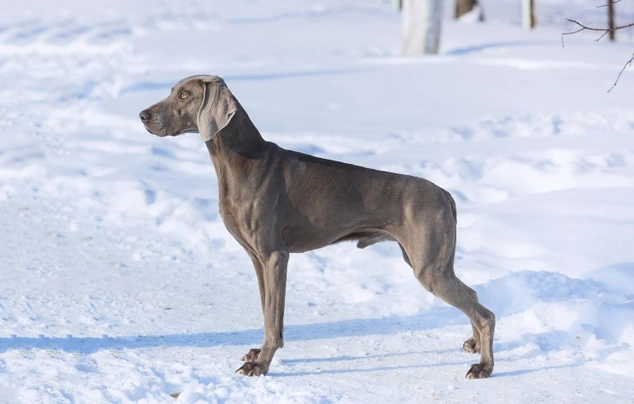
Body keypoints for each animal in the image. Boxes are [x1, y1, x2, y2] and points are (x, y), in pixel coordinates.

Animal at [138, 73, 494, 378]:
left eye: (185, 95)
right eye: (172, 90)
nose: (142, 115)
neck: (240, 159)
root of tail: (444, 192)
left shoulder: (275, 256)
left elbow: (273, 317)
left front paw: (261, 364)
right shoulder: (257, 258)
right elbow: (267, 311)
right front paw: (258, 354)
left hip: (429, 268)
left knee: (485, 314)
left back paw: (484, 367)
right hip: (432, 263)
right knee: (473, 295)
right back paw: (474, 344)